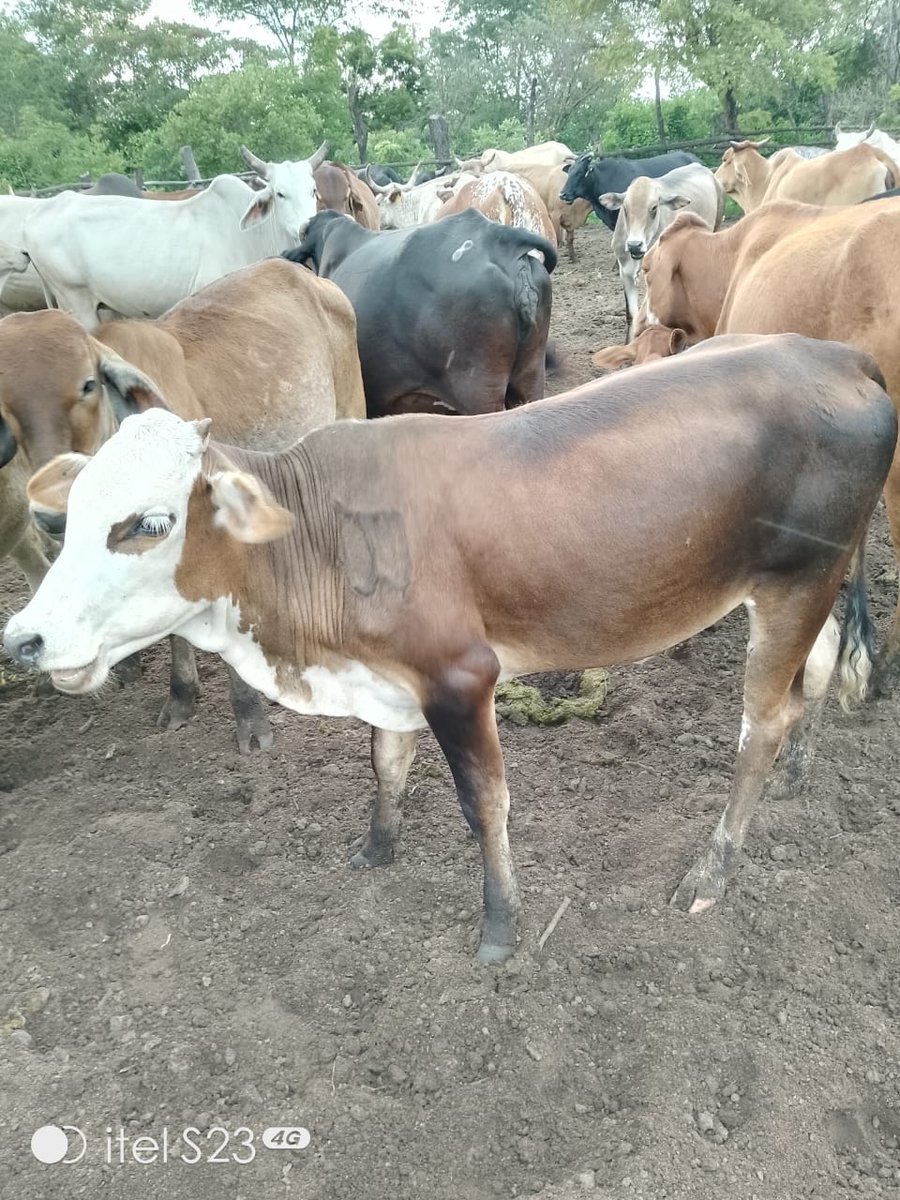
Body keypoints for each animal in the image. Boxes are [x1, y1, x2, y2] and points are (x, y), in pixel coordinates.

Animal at [0, 258, 366, 749]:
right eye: (4, 405)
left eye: (88, 384)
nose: (47, 513)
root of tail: (302, 272)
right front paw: (181, 695)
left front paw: (250, 717)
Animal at [5, 335, 895, 961]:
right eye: (66, 516)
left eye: (148, 522)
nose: (24, 638)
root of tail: (835, 354)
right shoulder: (389, 678)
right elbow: (387, 765)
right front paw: (375, 849)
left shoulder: (461, 678)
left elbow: (484, 804)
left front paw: (501, 927)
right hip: (817, 585)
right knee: (816, 678)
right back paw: (797, 778)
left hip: (794, 584)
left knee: (762, 722)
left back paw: (713, 869)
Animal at [21, 142, 329, 331]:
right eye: (280, 193)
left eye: (313, 189)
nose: (305, 226)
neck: (253, 237)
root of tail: (35, 216)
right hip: (77, 304)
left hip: (104, 307)